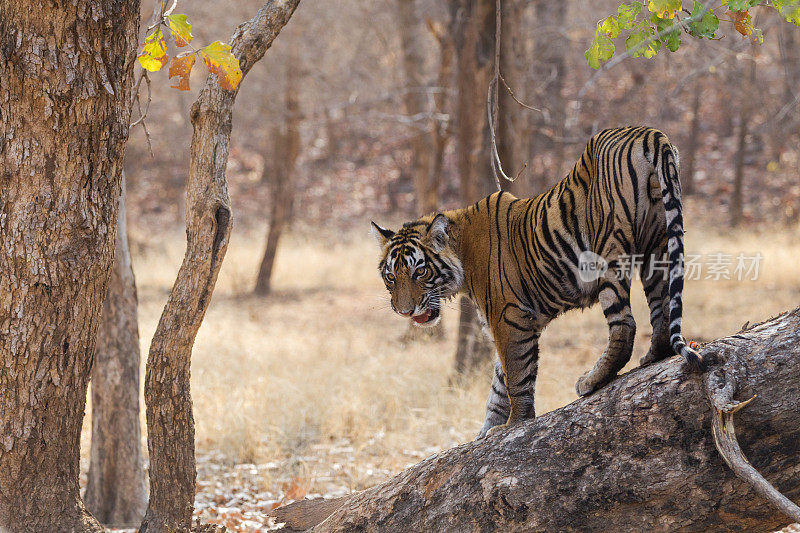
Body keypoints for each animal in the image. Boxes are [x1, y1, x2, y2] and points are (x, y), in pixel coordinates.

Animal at [372, 125, 704, 436]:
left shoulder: (509, 318)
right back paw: (651, 357)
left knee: (624, 327)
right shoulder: (514, 321)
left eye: (420, 272)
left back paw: (590, 381)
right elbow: (499, 385)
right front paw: (484, 433)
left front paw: (513, 425)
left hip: (608, 249)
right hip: (658, 244)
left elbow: (516, 376)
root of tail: (648, 133)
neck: (462, 252)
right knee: (662, 311)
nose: (404, 311)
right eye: (390, 277)